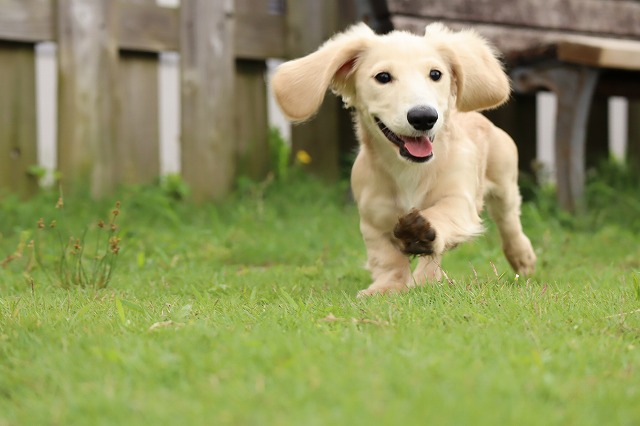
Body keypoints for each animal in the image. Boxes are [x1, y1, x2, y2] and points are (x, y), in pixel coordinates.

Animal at [271, 23, 536, 296]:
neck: (409, 169)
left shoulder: (459, 201)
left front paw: (419, 237)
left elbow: (440, 216)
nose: (424, 117)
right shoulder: (374, 218)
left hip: (504, 183)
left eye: (435, 74)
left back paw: (520, 256)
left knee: (508, 220)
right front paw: (387, 287)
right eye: (383, 77)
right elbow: (386, 257)